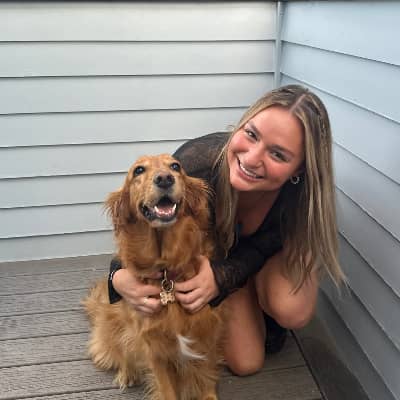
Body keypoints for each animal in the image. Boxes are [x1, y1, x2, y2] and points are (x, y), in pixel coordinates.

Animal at [83, 154, 224, 400]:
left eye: (176, 166)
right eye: (138, 170)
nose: (165, 179)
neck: (166, 269)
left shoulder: (206, 334)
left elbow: (206, 380)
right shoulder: (155, 350)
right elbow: (167, 390)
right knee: (123, 348)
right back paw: (127, 373)